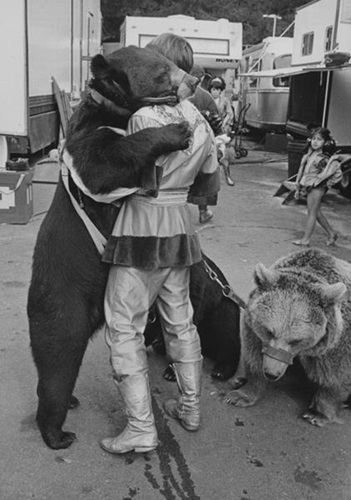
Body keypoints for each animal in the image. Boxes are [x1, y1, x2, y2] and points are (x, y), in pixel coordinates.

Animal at [226, 248, 351, 428]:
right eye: (269, 331)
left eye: (296, 340)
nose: (271, 373)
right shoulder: (255, 332)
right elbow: (255, 356)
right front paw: (241, 395)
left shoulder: (334, 344)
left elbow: (335, 376)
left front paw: (317, 414)